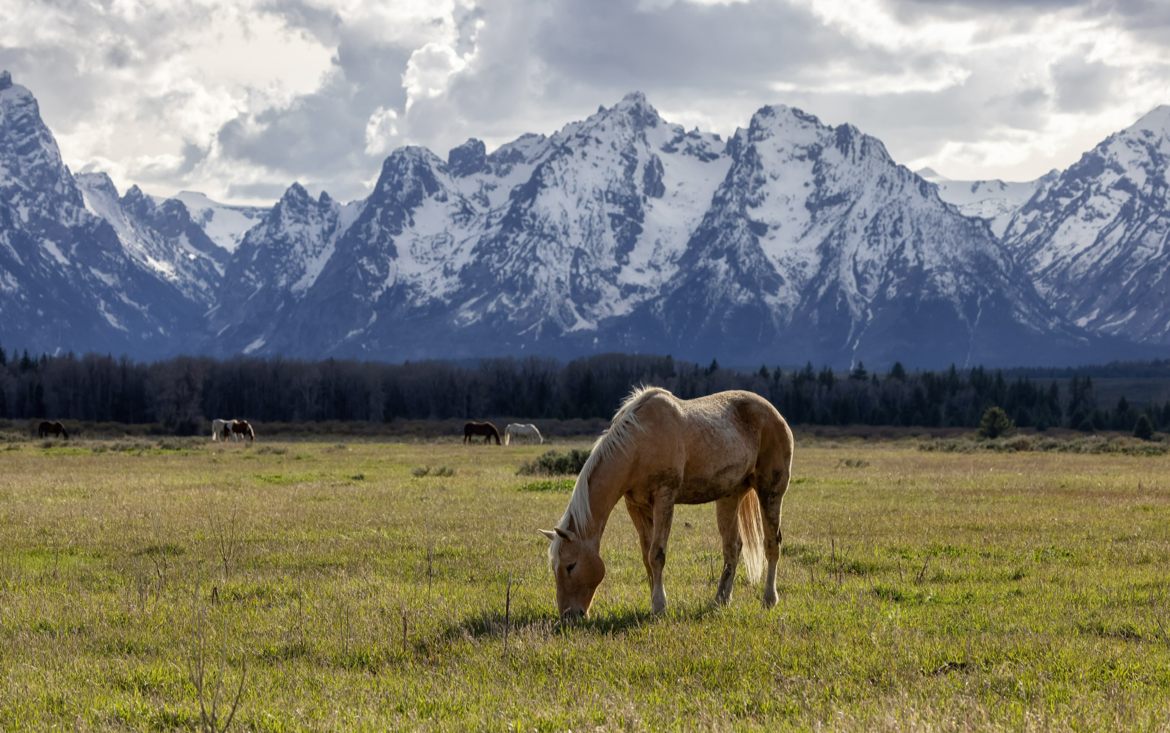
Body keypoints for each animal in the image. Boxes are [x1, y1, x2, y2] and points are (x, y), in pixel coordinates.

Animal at [538, 386, 795, 618]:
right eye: (554, 567)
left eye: (571, 565)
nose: (569, 616)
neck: (639, 443)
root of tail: (777, 416)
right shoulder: (636, 506)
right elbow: (646, 556)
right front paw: (653, 602)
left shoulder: (664, 498)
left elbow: (657, 554)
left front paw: (660, 606)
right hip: (730, 496)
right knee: (732, 547)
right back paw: (721, 600)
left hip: (771, 492)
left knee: (772, 543)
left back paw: (769, 599)